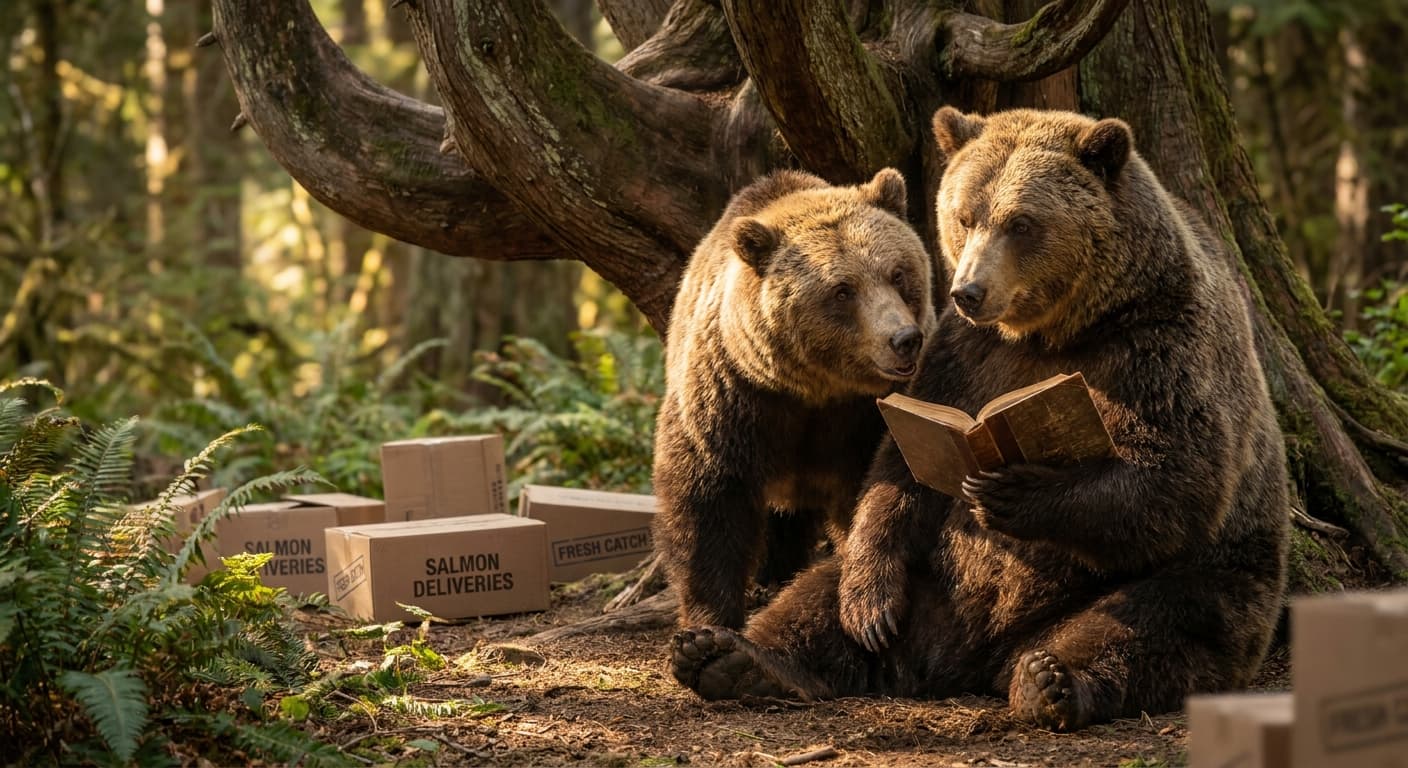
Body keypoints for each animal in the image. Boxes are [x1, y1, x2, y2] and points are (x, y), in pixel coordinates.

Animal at [653, 167, 939, 630]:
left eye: (898, 273)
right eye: (842, 290)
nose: (904, 339)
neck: (814, 388)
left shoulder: (863, 417)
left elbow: (879, 484)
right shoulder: (732, 399)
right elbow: (707, 500)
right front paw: (708, 618)